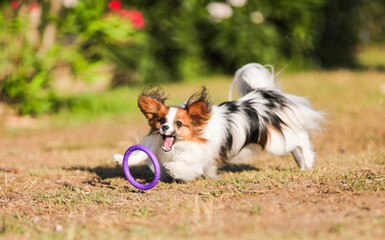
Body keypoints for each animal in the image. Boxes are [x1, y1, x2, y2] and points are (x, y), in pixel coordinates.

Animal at [112, 62, 322, 181]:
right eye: (162, 120)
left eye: (179, 124)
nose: (164, 127)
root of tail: (260, 96)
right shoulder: (157, 145)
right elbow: (143, 154)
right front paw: (121, 158)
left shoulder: (196, 156)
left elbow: (184, 167)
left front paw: (173, 168)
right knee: (296, 145)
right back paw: (302, 164)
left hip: (274, 143)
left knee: (301, 138)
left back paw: (308, 160)